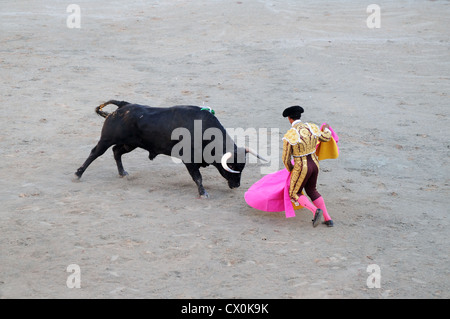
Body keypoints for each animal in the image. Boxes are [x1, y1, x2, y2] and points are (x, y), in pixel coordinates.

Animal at [73, 101, 264, 199]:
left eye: (242, 167)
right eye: (231, 167)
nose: (236, 185)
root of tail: (123, 106)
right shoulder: (189, 160)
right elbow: (198, 177)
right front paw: (203, 193)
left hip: (130, 144)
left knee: (116, 152)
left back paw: (122, 173)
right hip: (107, 139)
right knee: (95, 153)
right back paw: (78, 173)